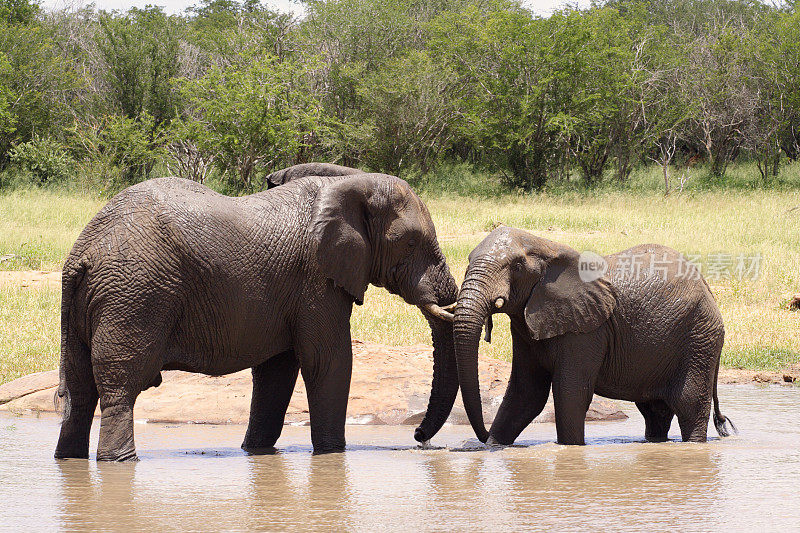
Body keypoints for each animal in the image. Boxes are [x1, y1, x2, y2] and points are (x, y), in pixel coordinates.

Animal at [54, 171, 456, 462]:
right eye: (411, 242)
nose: (418, 437)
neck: (350, 184)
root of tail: (83, 253)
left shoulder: (292, 290)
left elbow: (277, 370)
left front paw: (257, 452)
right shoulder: (316, 279)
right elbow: (328, 361)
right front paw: (332, 454)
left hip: (93, 303)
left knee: (80, 389)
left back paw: (69, 459)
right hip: (135, 296)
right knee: (119, 386)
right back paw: (119, 462)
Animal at [454, 227, 736, 446]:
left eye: (517, 266)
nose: (481, 437)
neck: (546, 245)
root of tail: (706, 286)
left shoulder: (587, 330)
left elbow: (570, 393)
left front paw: (570, 449)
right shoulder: (525, 327)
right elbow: (526, 393)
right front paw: (492, 447)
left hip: (699, 337)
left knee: (689, 404)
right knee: (655, 411)